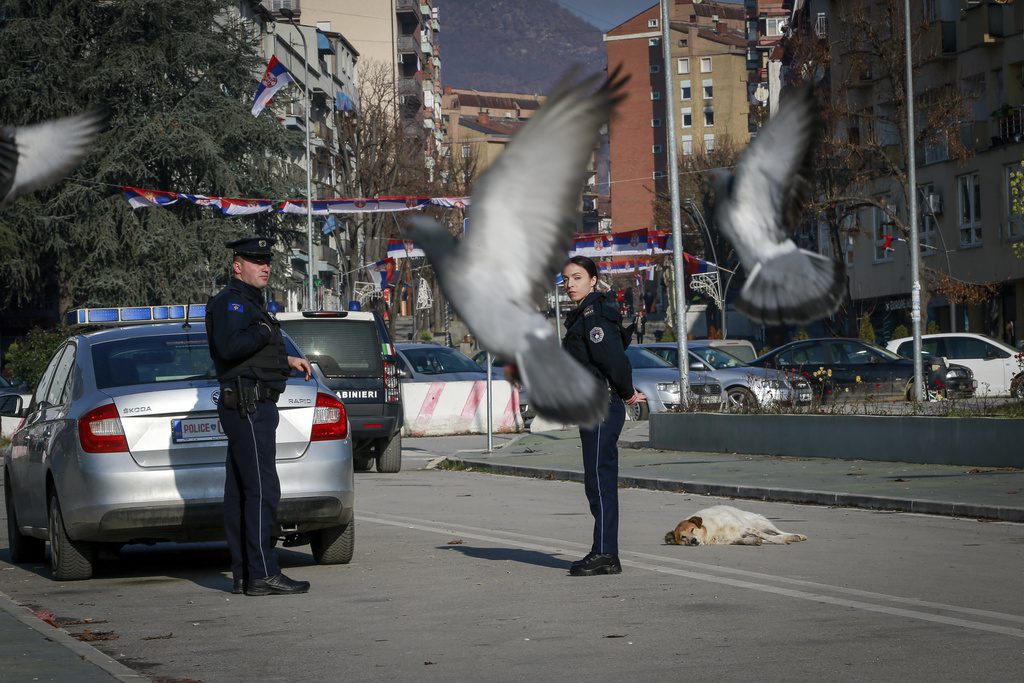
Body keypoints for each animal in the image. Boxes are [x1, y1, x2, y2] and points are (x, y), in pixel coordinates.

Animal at [663, 505, 806, 548]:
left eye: (692, 529)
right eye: (683, 537)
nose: (693, 540)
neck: (710, 532)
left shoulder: (744, 528)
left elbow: (766, 535)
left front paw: (783, 540)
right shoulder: (730, 539)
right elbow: (745, 540)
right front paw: (753, 541)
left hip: (761, 522)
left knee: (777, 531)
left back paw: (796, 536)